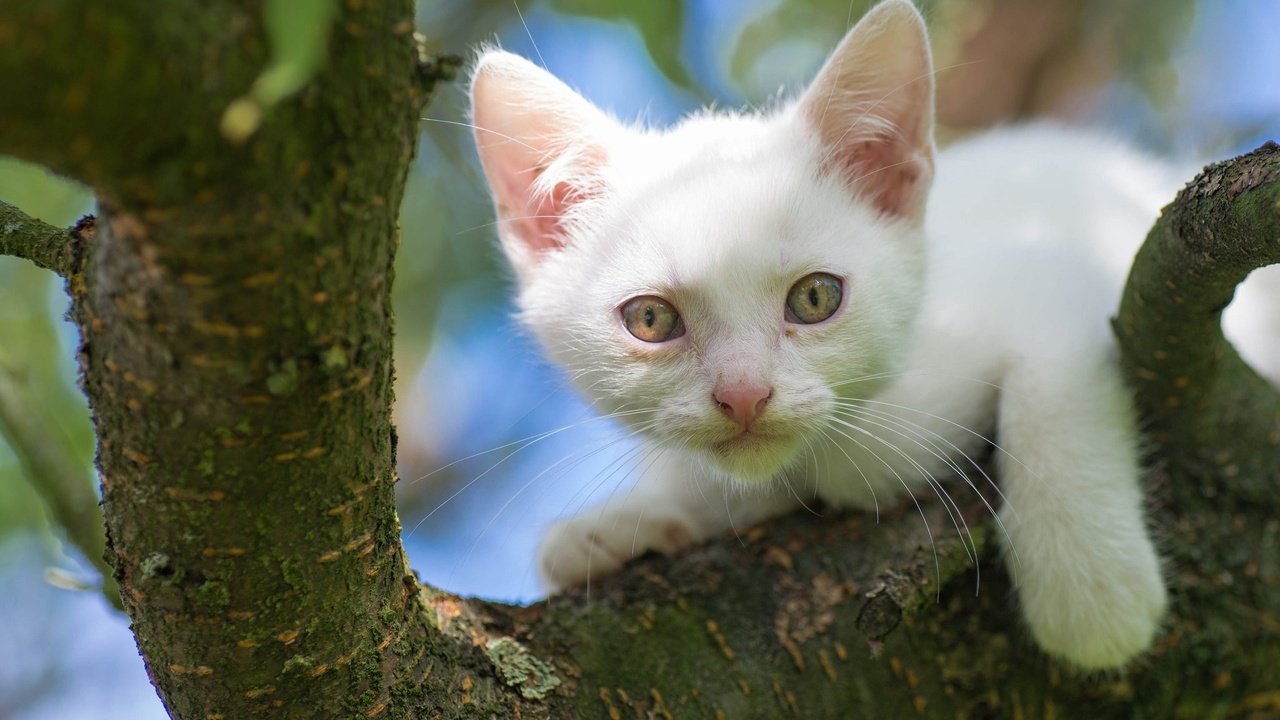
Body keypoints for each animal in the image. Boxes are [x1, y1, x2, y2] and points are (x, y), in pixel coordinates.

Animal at [460, 2, 1239, 671]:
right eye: (651, 319)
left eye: (815, 297)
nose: (744, 395)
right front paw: (628, 522)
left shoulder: (1079, 261)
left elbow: (1052, 376)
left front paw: (1090, 582)